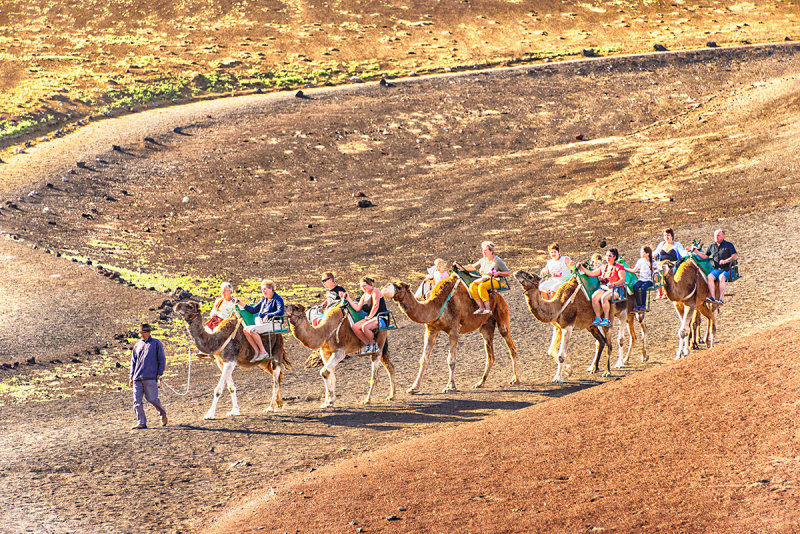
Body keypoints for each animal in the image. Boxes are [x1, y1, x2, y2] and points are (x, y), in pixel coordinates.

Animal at [382, 276, 520, 394]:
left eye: (399, 286)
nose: (385, 286)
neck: (436, 306)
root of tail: (498, 294)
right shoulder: (431, 330)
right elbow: (423, 359)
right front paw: (414, 388)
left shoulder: (454, 330)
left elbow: (451, 360)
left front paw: (450, 386)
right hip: (486, 326)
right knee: (490, 355)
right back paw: (480, 383)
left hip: (502, 312)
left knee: (510, 344)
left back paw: (515, 379)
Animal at [516, 272, 648, 382]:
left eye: (530, 276)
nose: (517, 272)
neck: (557, 305)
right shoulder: (558, 327)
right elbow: (551, 351)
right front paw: (568, 371)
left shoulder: (568, 326)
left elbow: (561, 355)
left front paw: (558, 378)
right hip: (592, 323)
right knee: (602, 341)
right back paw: (594, 367)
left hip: (618, 314)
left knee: (615, 341)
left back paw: (612, 368)